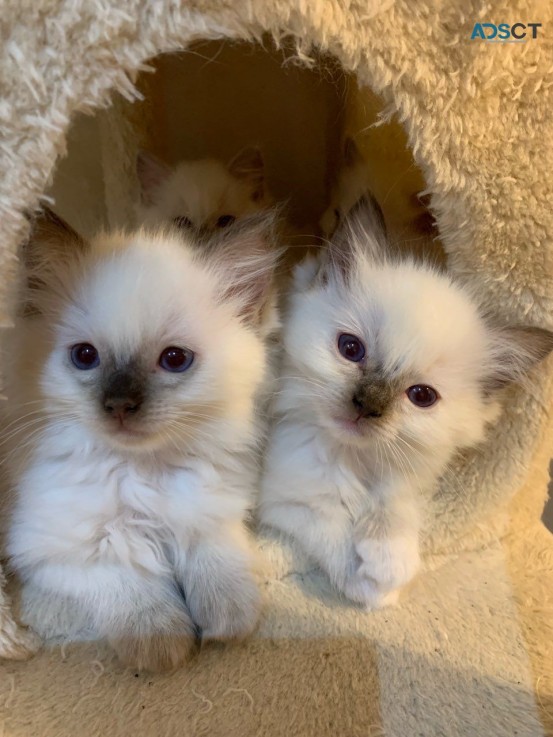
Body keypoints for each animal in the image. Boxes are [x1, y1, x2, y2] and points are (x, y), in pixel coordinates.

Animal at [3, 206, 280, 668]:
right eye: (85, 356)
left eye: (175, 359)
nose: (119, 404)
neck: (144, 472)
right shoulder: (52, 547)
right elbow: (127, 580)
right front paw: (160, 642)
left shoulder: (209, 508)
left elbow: (216, 556)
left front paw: (228, 620)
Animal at [258, 196, 552, 608]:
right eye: (351, 349)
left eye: (422, 396)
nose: (366, 406)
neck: (354, 458)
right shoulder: (282, 498)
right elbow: (328, 520)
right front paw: (370, 584)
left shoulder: (408, 472)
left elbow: (395, 502)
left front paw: (390, 559)